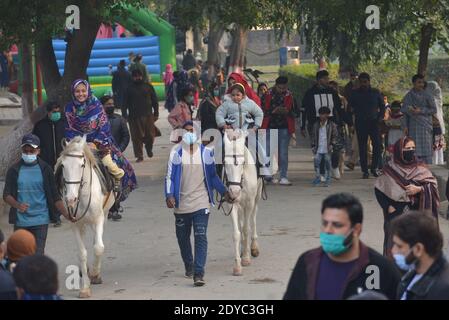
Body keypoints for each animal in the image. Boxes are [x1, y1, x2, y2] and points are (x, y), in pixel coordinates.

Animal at [55, 136, 114, 298]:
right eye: (63, 165)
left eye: (81, 165)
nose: (70, 199)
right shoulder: (75, 223)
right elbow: (82, 253)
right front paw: (85, 288)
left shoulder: (98, 218)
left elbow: (99, 247)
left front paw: (94, 274)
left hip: (104, 215)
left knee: (96, 242)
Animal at [221, 130, 260, 276]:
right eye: (224, 162)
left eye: (243, 162)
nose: (235, 191)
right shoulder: (231, 204)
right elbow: (237, 233)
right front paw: (237, 265)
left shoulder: (249, 202)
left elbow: (246, 229)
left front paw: (246, 258)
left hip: (256, 197)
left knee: (253, 219)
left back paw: (253, 247)